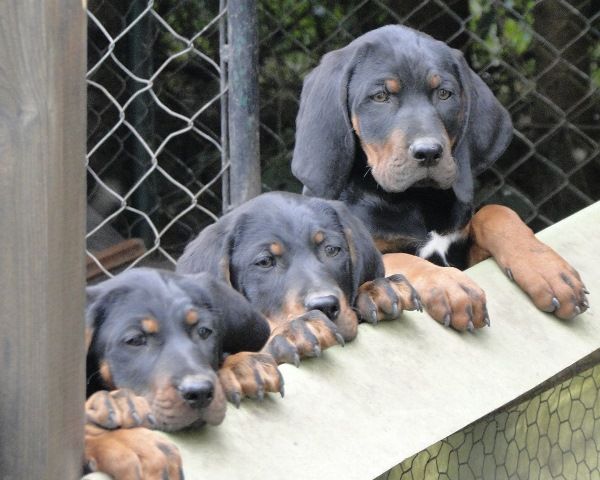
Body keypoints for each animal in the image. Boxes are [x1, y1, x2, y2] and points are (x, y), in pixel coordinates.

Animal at [292, 23, 588, 330]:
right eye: (380, 97)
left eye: (444, 93)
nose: (428, 152)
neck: (416, 199)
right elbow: (398, 257)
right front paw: (448, 284)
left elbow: (496, 211)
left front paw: (546, 268)